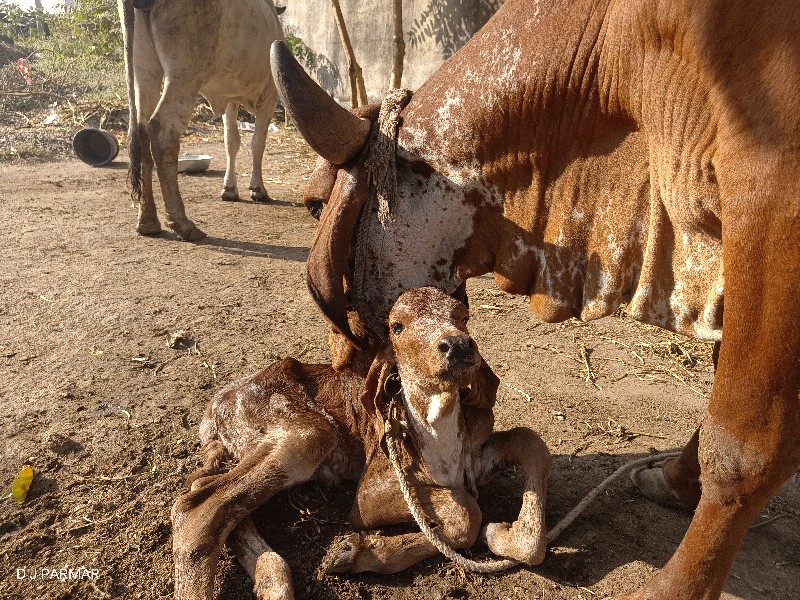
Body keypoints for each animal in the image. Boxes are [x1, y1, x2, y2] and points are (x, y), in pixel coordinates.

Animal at [116, 2, 284, 241]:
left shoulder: (230, 99)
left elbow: (231, 141)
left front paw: (229, 189)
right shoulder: (270, 96)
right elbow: (257, 143)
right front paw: (258, 189)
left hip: (144, 68)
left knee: (141, 131)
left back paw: (148, 222)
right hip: (185, 73)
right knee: (161, 130)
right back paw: (183, 224)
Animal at [170, 288, 552, 596]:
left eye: (463, 316)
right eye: (397, 326)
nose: (457, 345)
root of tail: (214, 410)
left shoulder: (476, 450)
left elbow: (531, 442)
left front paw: (505, 534)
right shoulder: (369, 493)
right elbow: (466, 511)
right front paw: (352, 552)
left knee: (208, 490)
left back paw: (272, 580)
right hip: (305, 433)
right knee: (196, 508)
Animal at [268, 0, 800, 596]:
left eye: (315, 204)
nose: (343, 363)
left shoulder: (771, 195)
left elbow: (741, 448)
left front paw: (671, 587)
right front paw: (674, 480)